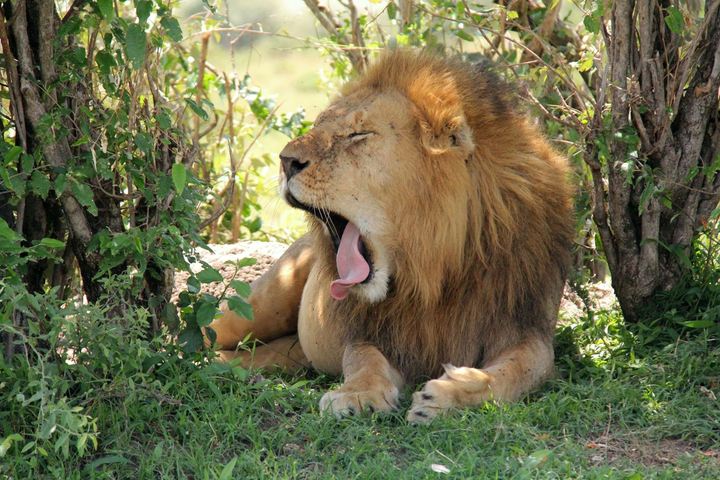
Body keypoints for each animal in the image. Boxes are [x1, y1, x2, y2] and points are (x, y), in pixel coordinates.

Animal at [207, 49, 574, 423]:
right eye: (318, 125)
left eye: (359, 134)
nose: (285, 161)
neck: (432, 268)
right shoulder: (369, 331)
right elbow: (364, 360)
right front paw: (357, 395)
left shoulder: (527, 328)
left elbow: (514, 373)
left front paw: (447, 396)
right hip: (257, 303)